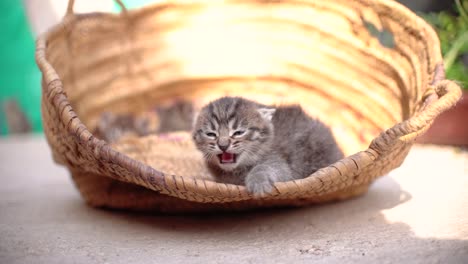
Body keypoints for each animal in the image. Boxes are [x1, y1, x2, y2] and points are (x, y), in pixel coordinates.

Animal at [191, 96, 344, 195]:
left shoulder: (280, 164)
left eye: (238, 132)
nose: (223, 145)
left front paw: (258, 182)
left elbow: (264, 167)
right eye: (211, 134)